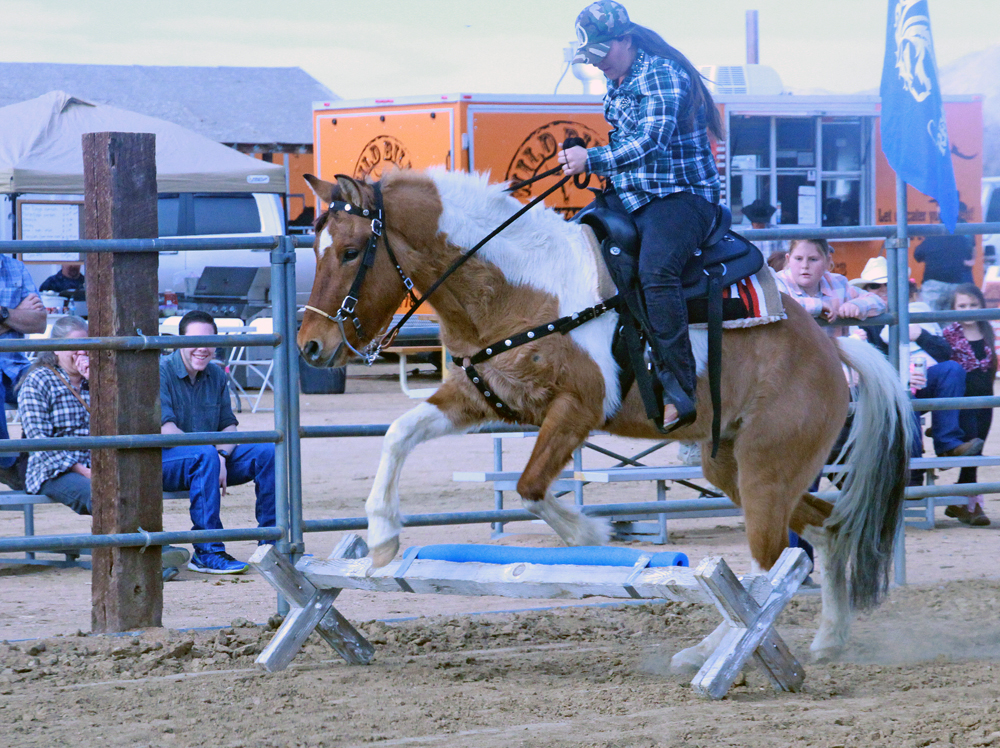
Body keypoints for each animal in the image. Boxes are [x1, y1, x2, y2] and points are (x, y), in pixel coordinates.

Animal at [298, 167, 912, 667]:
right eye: (316, 248)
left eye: (350, 252)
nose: (310, 345)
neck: (522, 284)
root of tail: (834, 351)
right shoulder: (483, 396)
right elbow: (400, 433)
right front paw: (382, 535)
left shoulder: (578, 409)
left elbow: (530, 487)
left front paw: (594, 531)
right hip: (734, 469)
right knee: (825, 531)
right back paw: (825, 639)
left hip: (766, 471)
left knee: (770, 564)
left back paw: (708, 651)